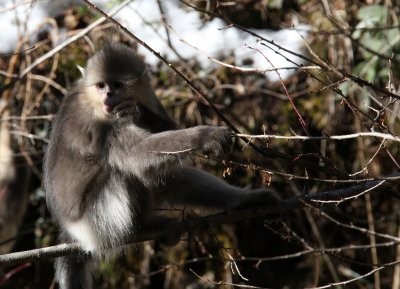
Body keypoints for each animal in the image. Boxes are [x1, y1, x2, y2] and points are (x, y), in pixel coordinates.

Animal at [42, 41, 276, 286]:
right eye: (101, 85)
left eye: (116, 85)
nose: (108, 94)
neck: (92, 101)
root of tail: (72, 231)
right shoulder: (100, 126)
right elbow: (137, 155)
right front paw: (207, 135)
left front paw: (136, 111)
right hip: (98, 222)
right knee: (124, 172)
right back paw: (142, 227)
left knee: (168, 176)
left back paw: (244, 201)